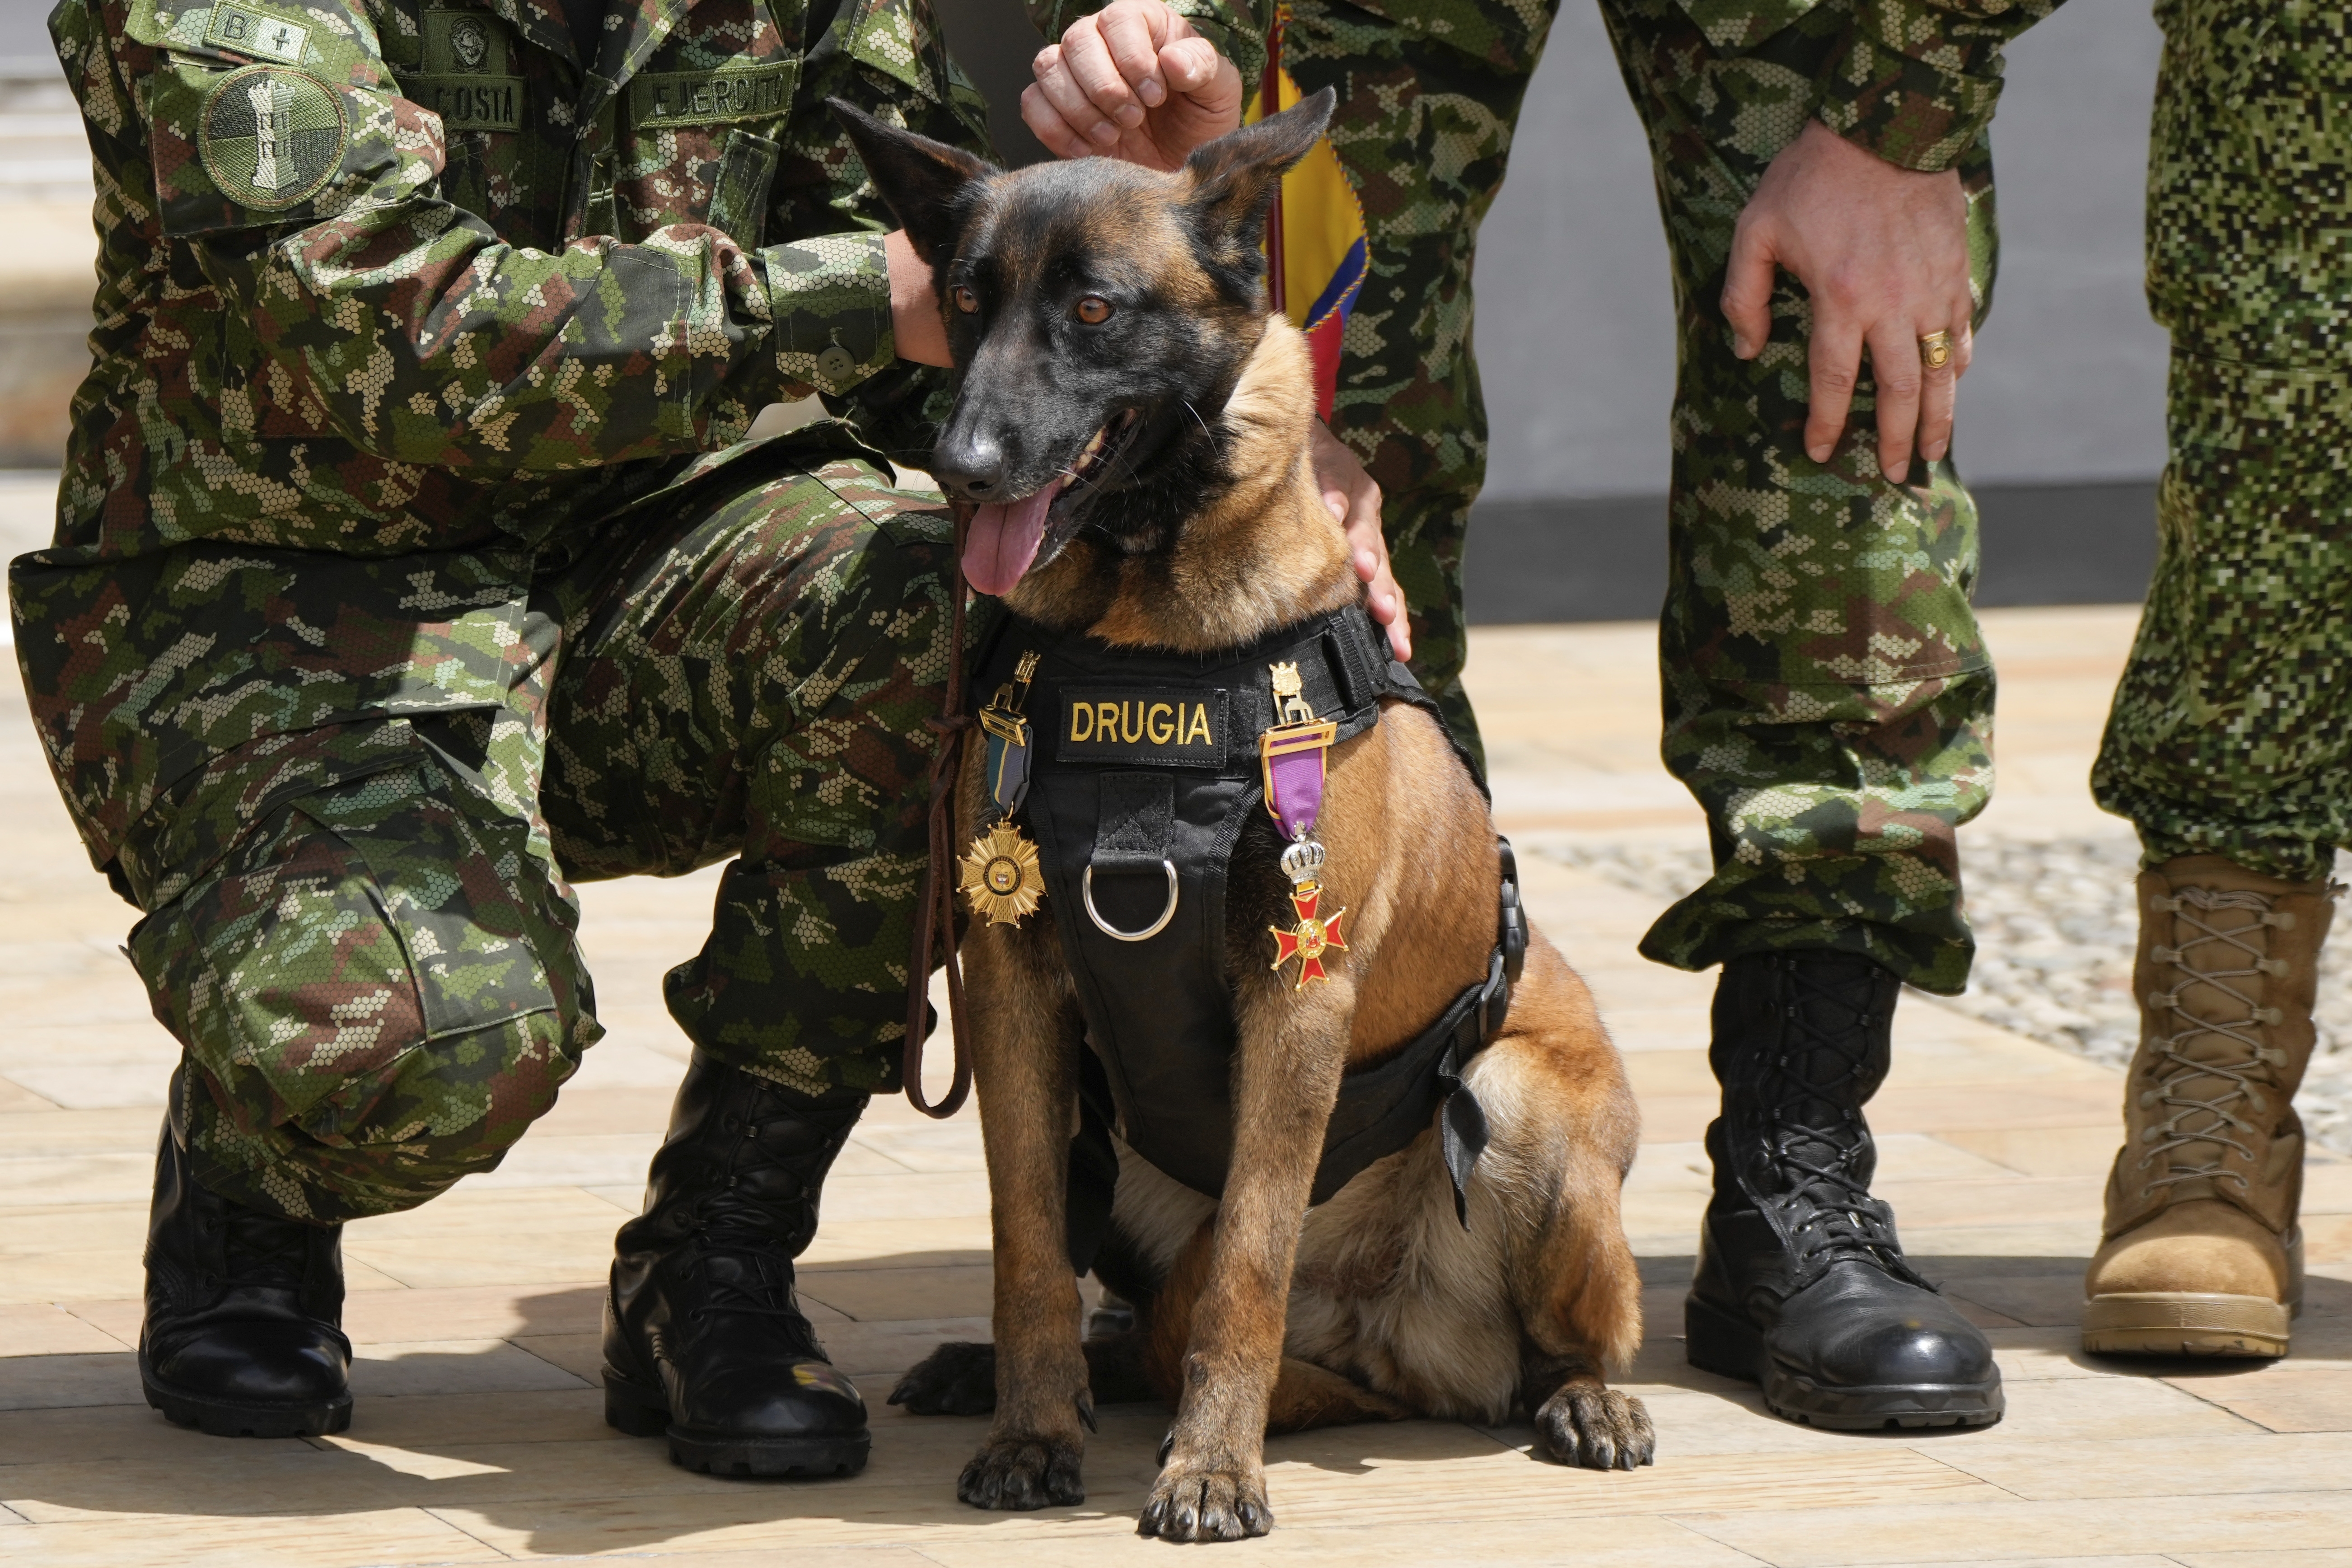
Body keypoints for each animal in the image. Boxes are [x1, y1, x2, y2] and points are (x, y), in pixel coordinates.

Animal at [842, 92, 1655, 1542]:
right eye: (964, 300)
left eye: (1094, 310)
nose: (961, 465)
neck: (1142, 628)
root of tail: (1405, 1346)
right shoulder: (1010, 978)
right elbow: (1024, 1241)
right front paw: (1031, 1427)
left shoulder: (1297, 993)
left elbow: (1248, 1267)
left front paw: (1212, 1463)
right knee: (1138, 1315)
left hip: (1515, 1103)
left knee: (1561, 1339)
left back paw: (1582, 1398)